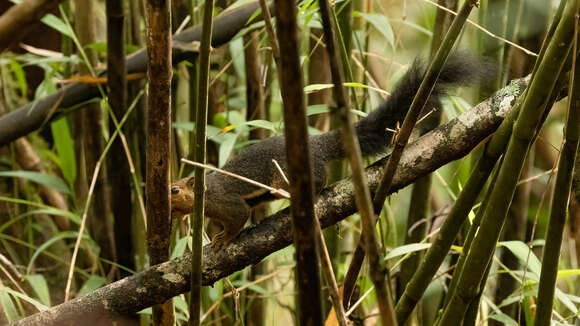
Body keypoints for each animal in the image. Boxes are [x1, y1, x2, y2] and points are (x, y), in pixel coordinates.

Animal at [171, 53, 480, 248]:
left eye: (174, 190)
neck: (205, 192)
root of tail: (316, 145)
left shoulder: (226, 202)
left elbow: (237, 218)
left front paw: (223, 239)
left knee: (319, 180)